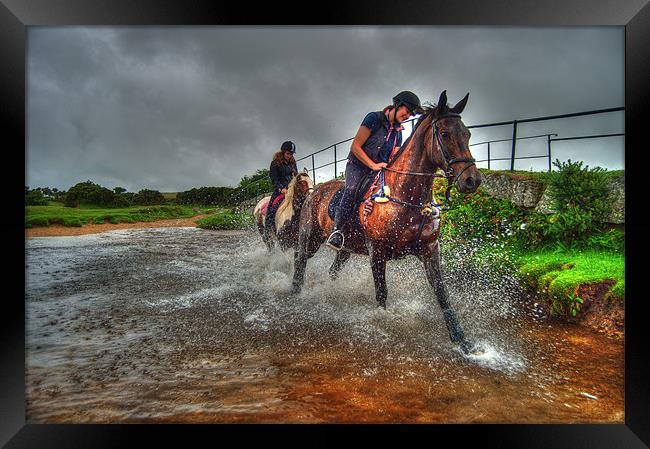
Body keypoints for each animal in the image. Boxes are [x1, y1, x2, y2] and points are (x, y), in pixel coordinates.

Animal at [292, 91, 478, 354]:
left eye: (467, 134)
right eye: (444, 133)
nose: (473, 180)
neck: (407, 197)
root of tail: (313, 191)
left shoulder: (430, 249)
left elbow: (442, 293)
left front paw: (462, 340)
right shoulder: (377, 251)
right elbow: (382, 293)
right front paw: (382, 324)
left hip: (346, 249)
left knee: (332, 270)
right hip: (310, 238)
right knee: (300, 260)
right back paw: (295, 292)